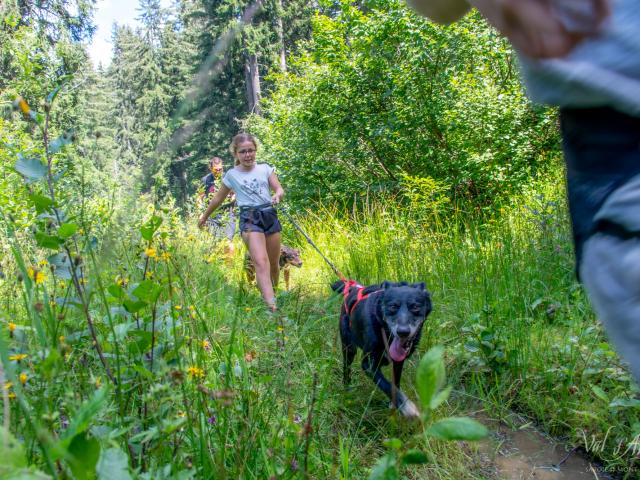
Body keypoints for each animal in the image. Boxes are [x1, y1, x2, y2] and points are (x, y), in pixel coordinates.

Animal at [332, 280, 432, 418]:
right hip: (349, 348)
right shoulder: (369, 365)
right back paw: (346, 390)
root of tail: (354, 287)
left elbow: (395, 384)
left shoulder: (398, 363)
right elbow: (387, 385)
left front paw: (395, 405)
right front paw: (407, 407)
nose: (403, 332)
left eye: (415, 307)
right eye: (393, 307)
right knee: (346, 369)